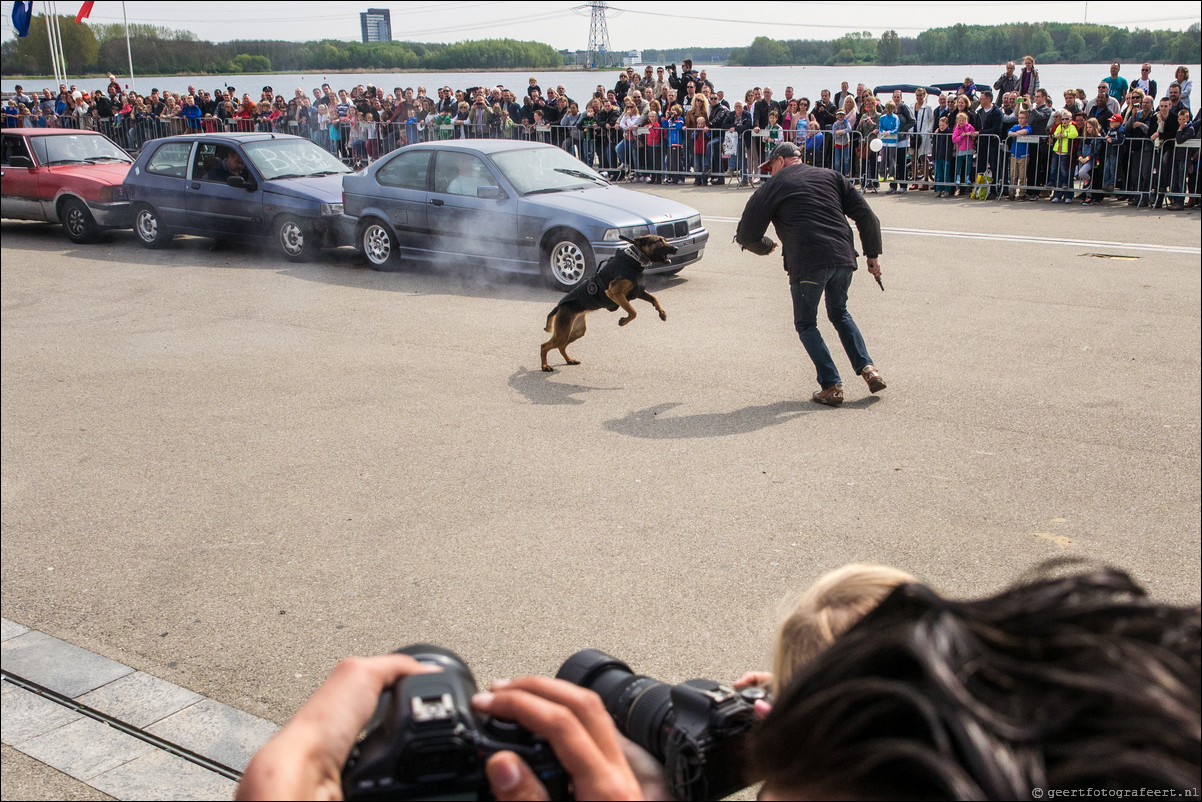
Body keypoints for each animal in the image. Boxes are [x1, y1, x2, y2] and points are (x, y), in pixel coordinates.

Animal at [543, 232, 682, 370]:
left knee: (561, 346)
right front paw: (623, 321)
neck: (635, 259)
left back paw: (569, 360)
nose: (676, 248)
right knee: (544, 346)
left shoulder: (638, 292)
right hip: (563, 332)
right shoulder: (614, 293)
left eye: (664, 239)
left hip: (577, 331)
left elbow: (654, 298)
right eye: (659, 241)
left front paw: (662, 313)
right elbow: (633, 312)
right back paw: (545, 365)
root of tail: (559, 307)